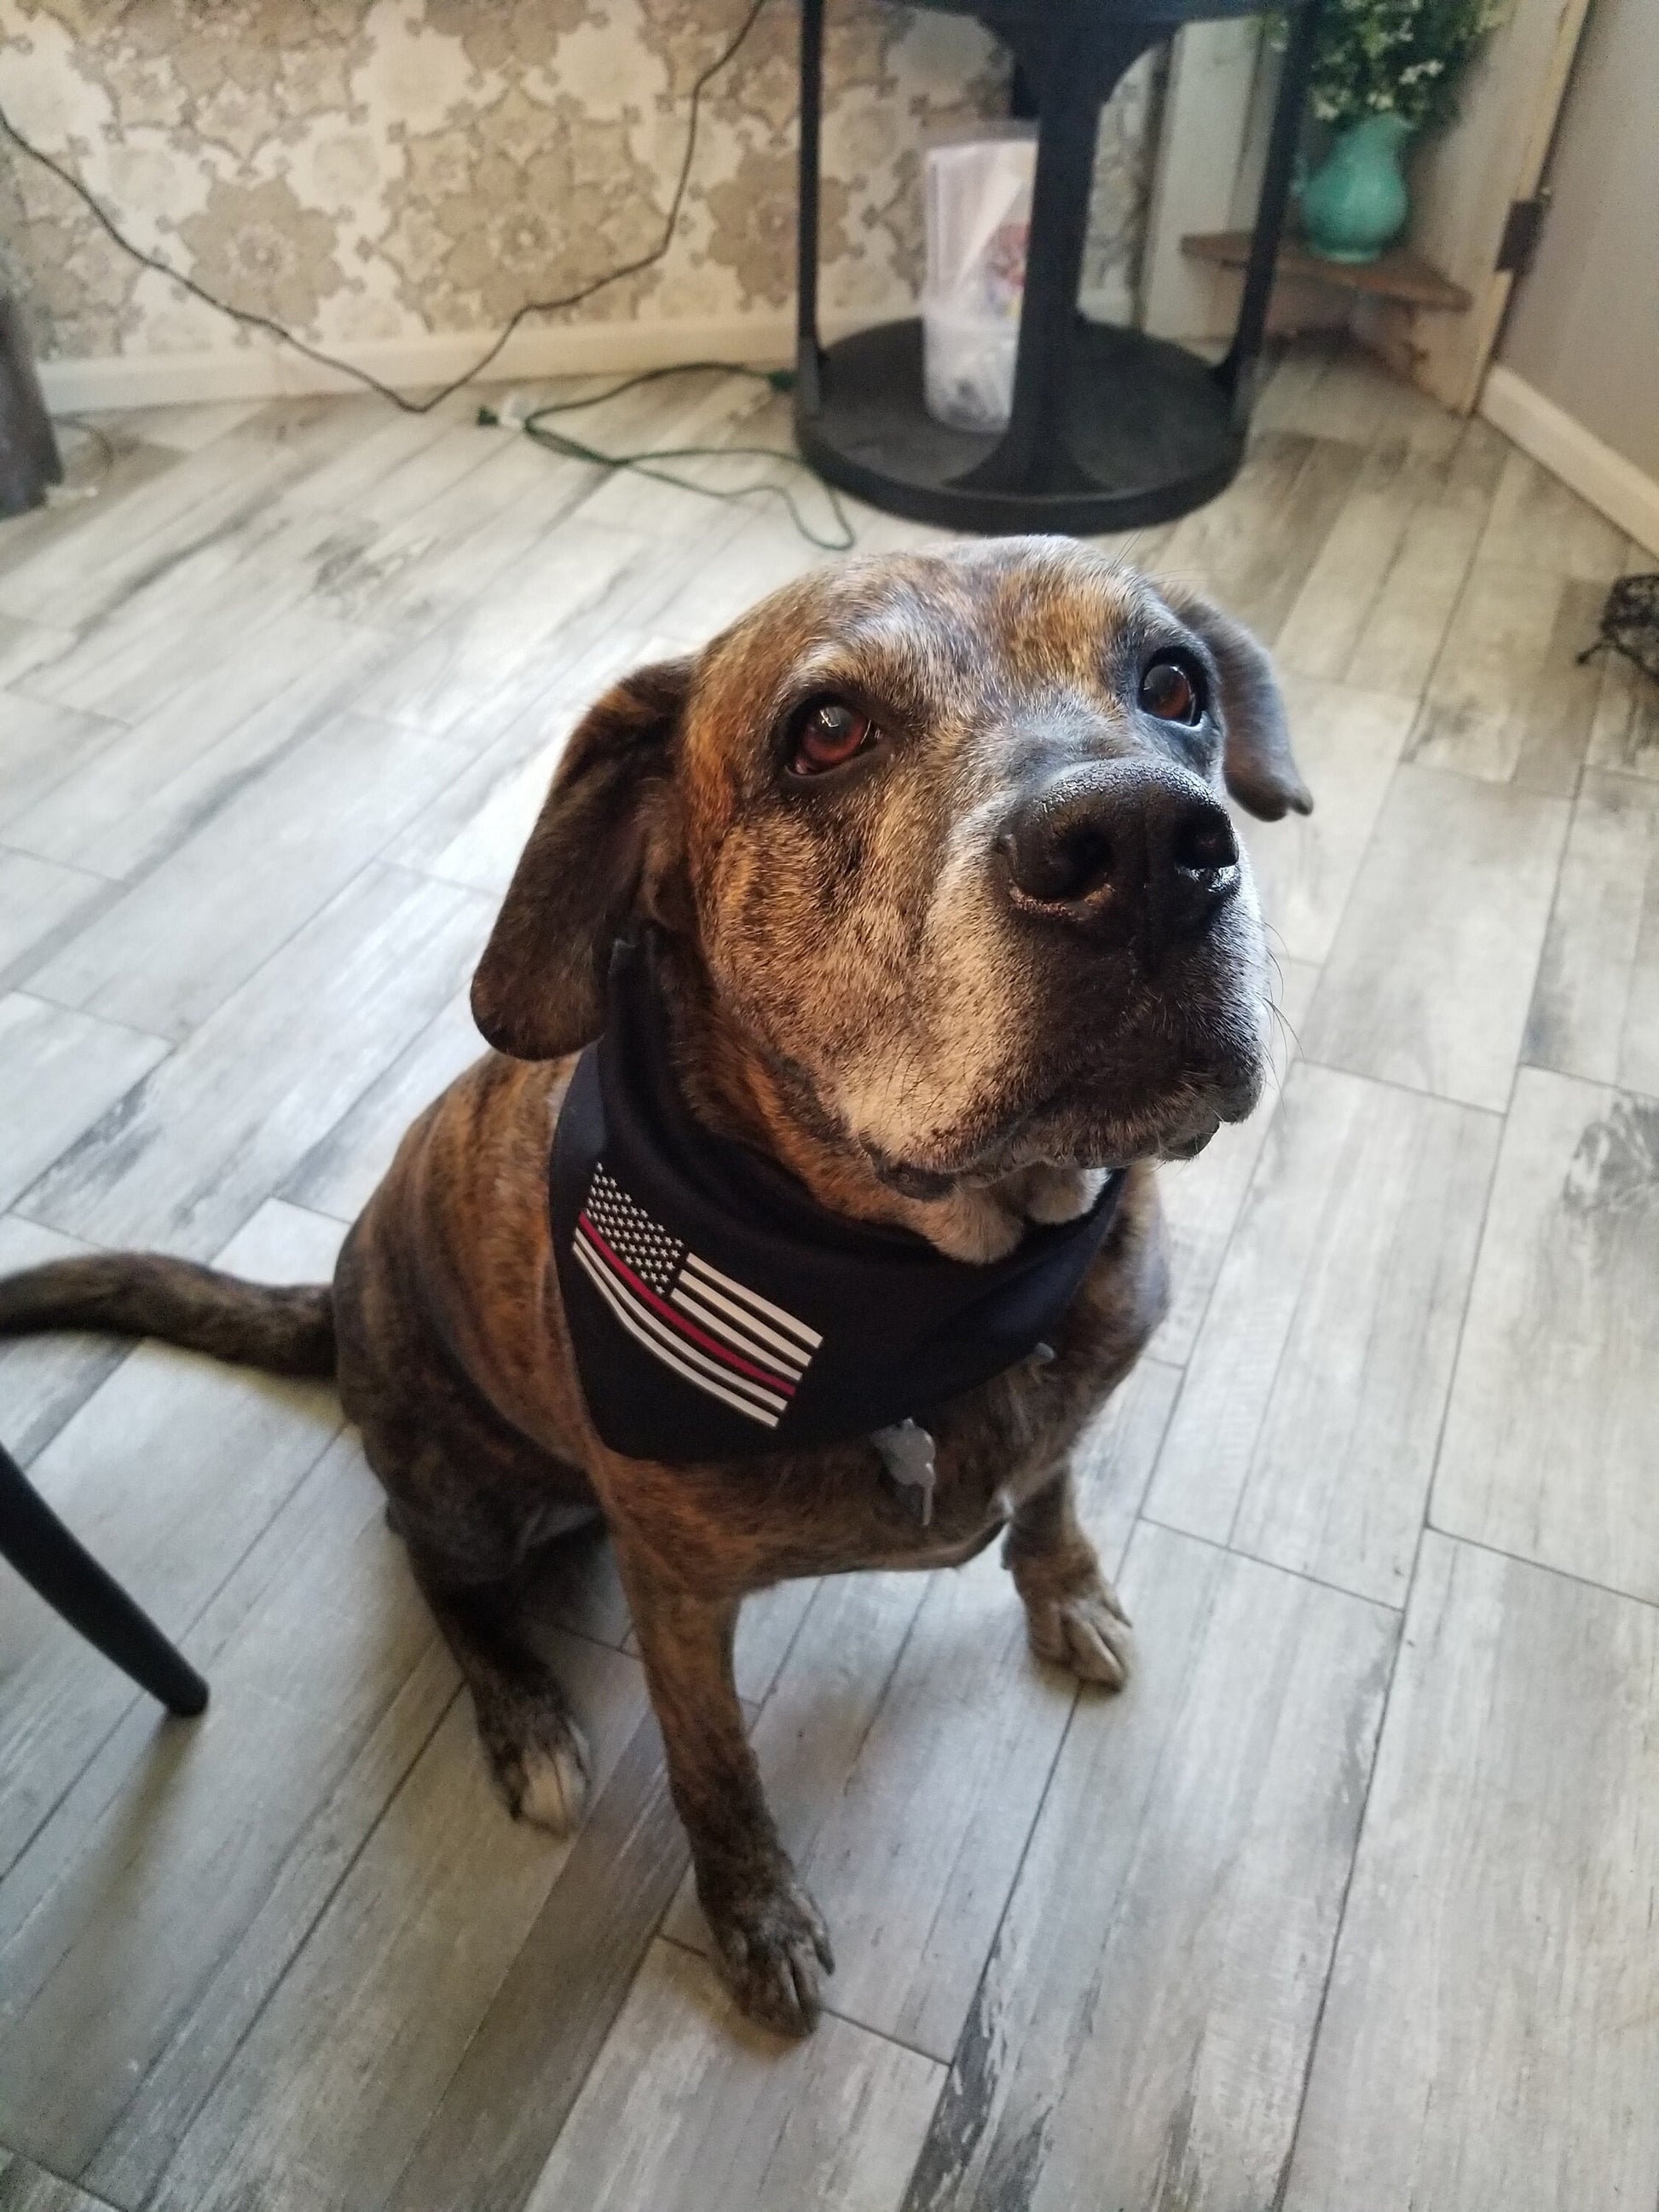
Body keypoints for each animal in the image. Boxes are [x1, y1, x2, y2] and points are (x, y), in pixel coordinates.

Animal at [0, 540, 1309, 2035]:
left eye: (1174, 684)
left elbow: (1050, 1495)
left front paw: (1068, 1590)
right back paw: (523, 1720)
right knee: (434, 1568)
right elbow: (713, 1763)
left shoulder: (1068, 1402)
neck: (932, 1288)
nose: (1144, 848)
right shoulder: (677, 1595)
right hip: (459, 1482)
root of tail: (340, 1299)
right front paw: (756, 1914)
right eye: (825, 730)